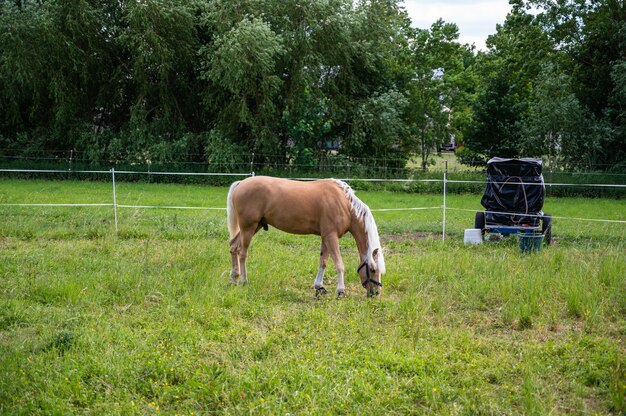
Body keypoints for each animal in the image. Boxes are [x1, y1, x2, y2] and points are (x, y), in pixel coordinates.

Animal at [227, 176, 382, 296]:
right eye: (373, 270)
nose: (376, 293)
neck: (344, 204)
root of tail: (241, 183)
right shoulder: (331, 236)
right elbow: (339, 263)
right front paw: (341, 290)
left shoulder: (325, 237)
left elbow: (323, 261)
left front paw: (319, 287)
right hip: (248, 227)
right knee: (243, 253)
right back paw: (243, 281)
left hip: (254, 226)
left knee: (234, 247)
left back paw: (234, 279)